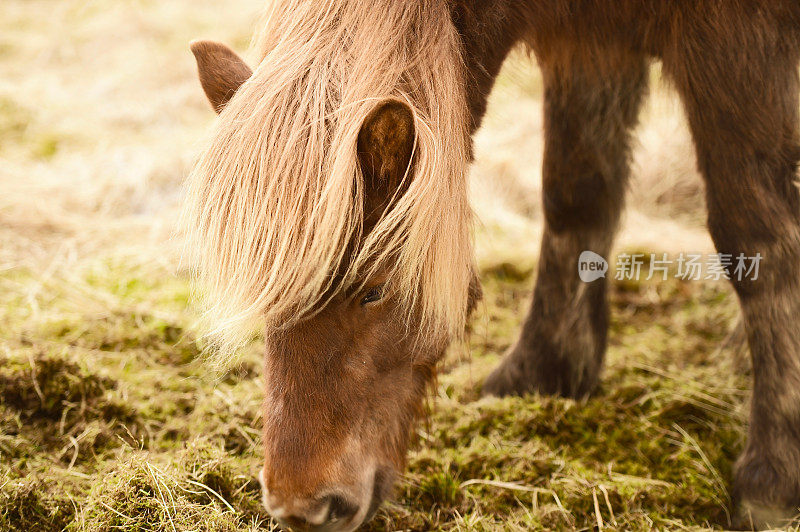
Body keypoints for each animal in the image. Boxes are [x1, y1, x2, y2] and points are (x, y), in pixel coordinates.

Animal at [184, 2, 800, 528]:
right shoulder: (587, 38)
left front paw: (772, 479)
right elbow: (576, 194)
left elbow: (756, 234)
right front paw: (545, 370)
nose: (302, 508)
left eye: (374, 291)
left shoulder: (736, 41)